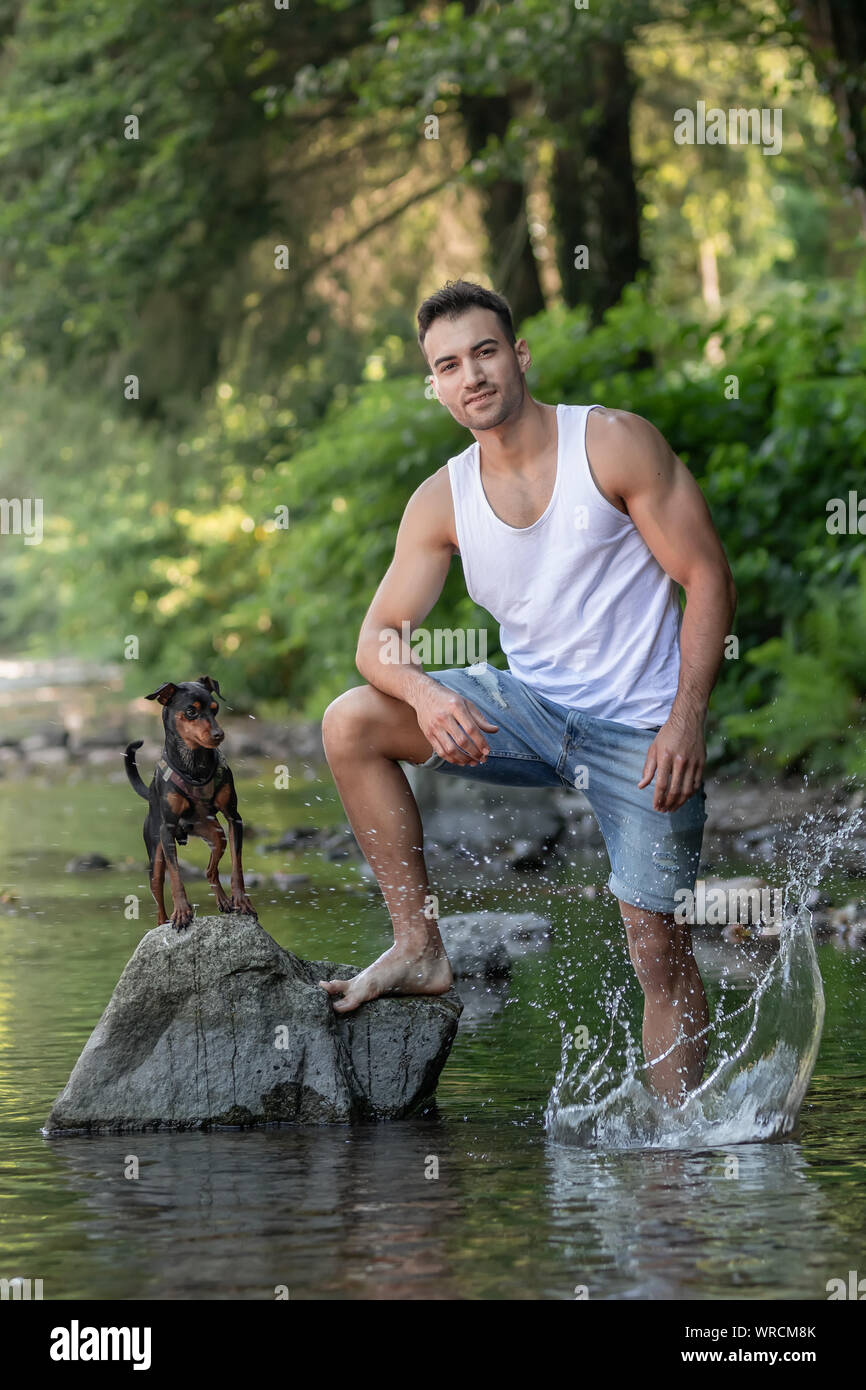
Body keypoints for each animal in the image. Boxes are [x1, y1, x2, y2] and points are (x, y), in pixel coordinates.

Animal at [123, 675, 255, 928]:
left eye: (215, 708)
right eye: (191, 712)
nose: (219, 734)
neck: (194, 765)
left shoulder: (234, 818)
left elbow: (237, 866)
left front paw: (241, 901)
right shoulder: (166, 829)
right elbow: (176, 876)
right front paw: (182, 912)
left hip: (216, 835)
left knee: (210, 870)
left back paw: (224, 901)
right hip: (155, 854)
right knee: (158, 891)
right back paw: (164, 920)